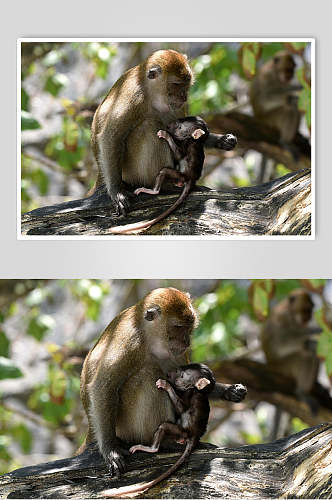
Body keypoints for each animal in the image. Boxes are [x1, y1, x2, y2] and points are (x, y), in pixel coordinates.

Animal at [91, 47, 195, 216]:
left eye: (187, 84)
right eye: (176, 84)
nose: (184, 96)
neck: (151, 94)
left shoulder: (178, 108)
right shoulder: (134, 98)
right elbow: (111, 137)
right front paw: (116, 191)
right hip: (130, 172)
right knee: (149, 126)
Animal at [102, 364, 248, 500]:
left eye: (182, 376)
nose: (169, 373)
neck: (198, 390)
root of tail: (194, 435)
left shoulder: (191, 394)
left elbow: (181, 408)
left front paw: (165, 385)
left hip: (180, 431)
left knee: (163, 427)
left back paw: (151, 448)